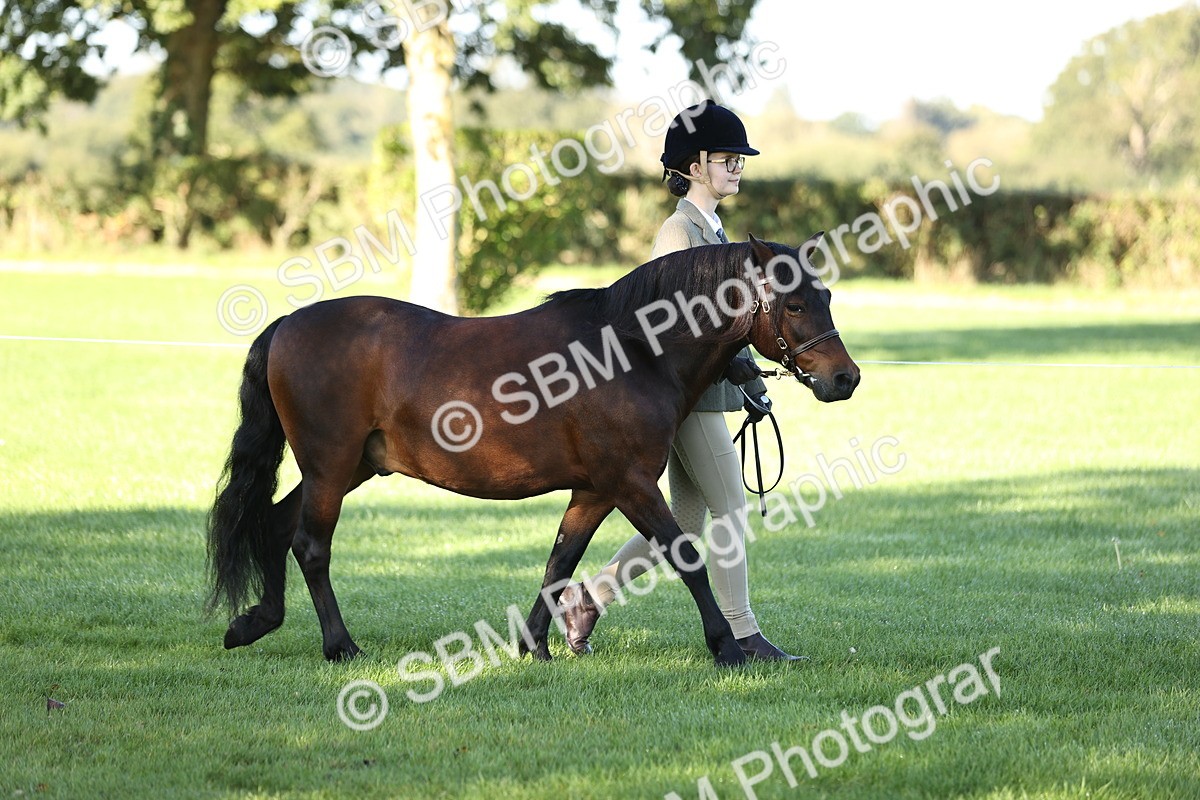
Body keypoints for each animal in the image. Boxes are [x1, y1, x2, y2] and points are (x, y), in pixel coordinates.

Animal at [206, 233, 860, 666]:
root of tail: (288, 324)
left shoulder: (594, 490)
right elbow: (687, 557)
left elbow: (560, 561)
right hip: (331, 466)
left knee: (274, 525)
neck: (631, 349)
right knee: (310, 545)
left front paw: (536, 645)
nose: (845, 378)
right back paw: (340, 646)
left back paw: (253, 623)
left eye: (826, 295)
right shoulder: (630, 484)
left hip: (350, 468)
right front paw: (727, 647)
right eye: (795, 304)